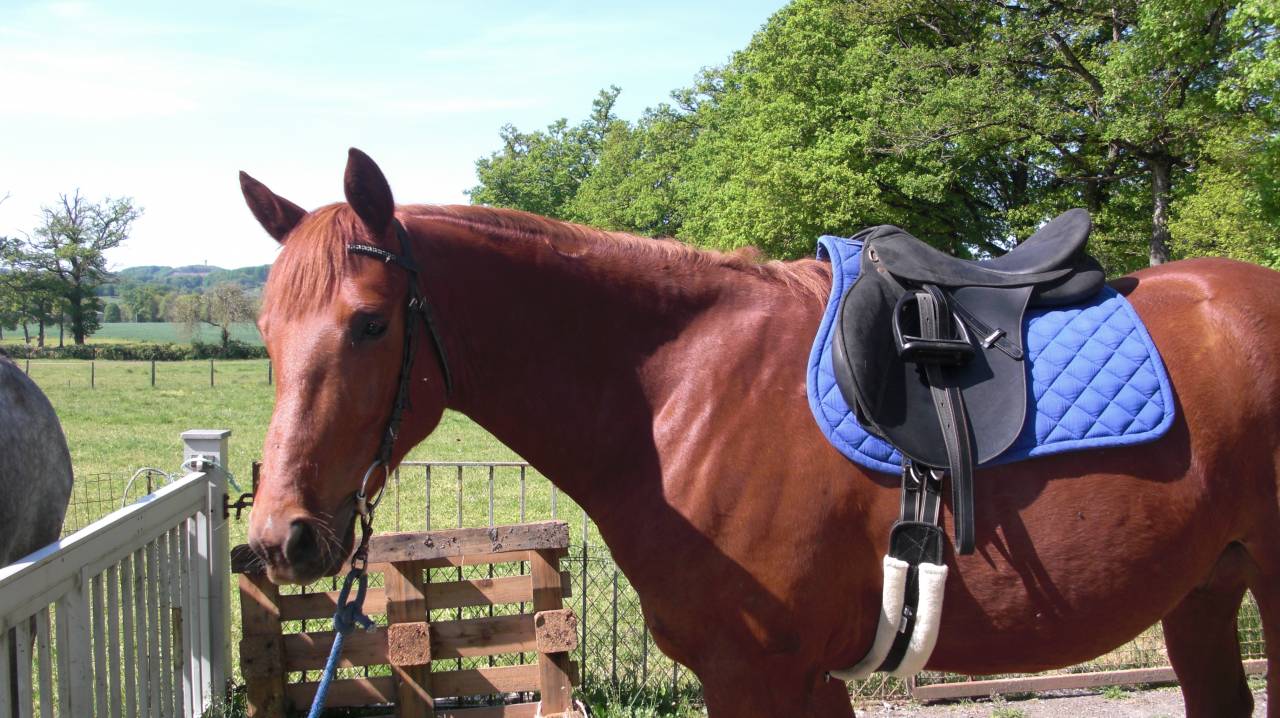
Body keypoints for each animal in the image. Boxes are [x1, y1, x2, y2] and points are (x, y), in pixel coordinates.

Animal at [241, 149, 1280, 717]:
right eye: (265, 329)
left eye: (370, 323)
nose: (283, 534)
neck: (679, 392)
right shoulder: (807, 678)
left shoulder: (755, 677)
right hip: (1204, 588)